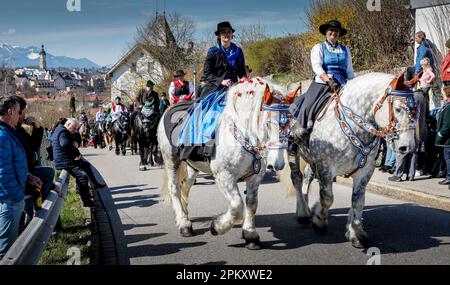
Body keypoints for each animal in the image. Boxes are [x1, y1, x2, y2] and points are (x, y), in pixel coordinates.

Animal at [158, 77, 298, 248]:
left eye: (290, 123)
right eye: (268, 123)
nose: (276, 165)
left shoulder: (255, 177)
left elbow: (251, 204)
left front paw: (250, 235)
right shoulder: (224, 176)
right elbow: (237, 205)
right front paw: (217, 227)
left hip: (192, 167)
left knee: (185, 186)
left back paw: (185, 216)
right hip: (171, 160)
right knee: (174, 189)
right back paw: (184, 224)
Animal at [280, 72, 416, 247]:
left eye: (415, 109)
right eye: (398, 109)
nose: (408, 147)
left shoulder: (365, 170)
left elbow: (358, 201)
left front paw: (356, 233)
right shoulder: (325, 166)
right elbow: (327, 198)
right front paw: (319, 222)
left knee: (308, 176)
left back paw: (306, 206)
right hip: (293, 152)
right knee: (297, 177)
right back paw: (303, 213)